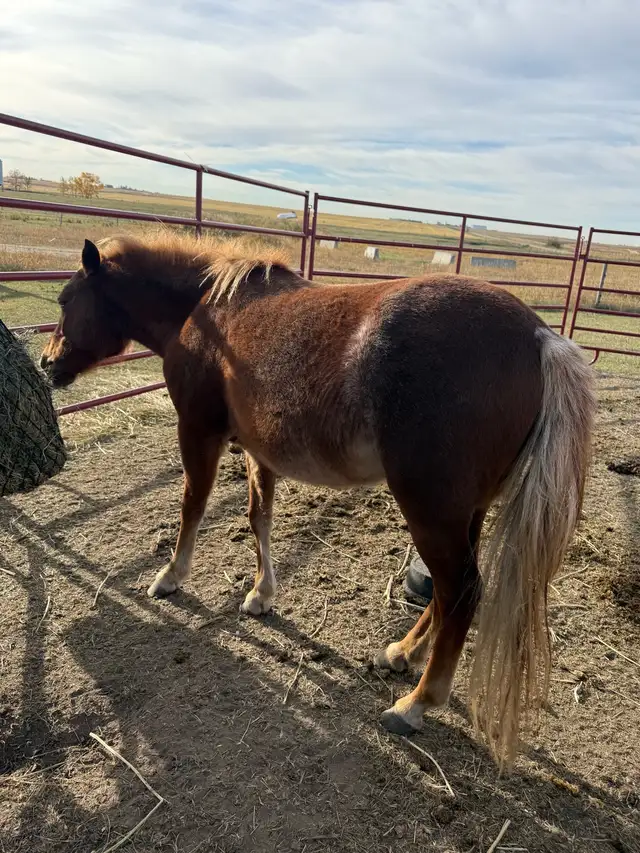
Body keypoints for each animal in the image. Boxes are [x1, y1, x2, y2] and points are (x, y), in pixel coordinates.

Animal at [41, 233, 595, 766]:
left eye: (66, 299)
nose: (47, 364)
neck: (203, 310)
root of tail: (539, 338)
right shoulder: (258, 450)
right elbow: (259, 517)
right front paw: (261, 594)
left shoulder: (198, 432)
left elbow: (192, 506)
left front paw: (171, 577)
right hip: (466, 513)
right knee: (446, 592)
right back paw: (402, 654)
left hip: (431, 511)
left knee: (459, 591)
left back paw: (415, 704)